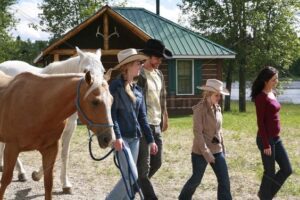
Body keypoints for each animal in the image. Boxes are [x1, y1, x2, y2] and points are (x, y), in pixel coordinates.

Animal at [0, 47, 103, 194]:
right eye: (85, 71)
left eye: (103, 71)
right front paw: (37, 175)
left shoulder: (69, 129)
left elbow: (64, 154)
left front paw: (64, 184)